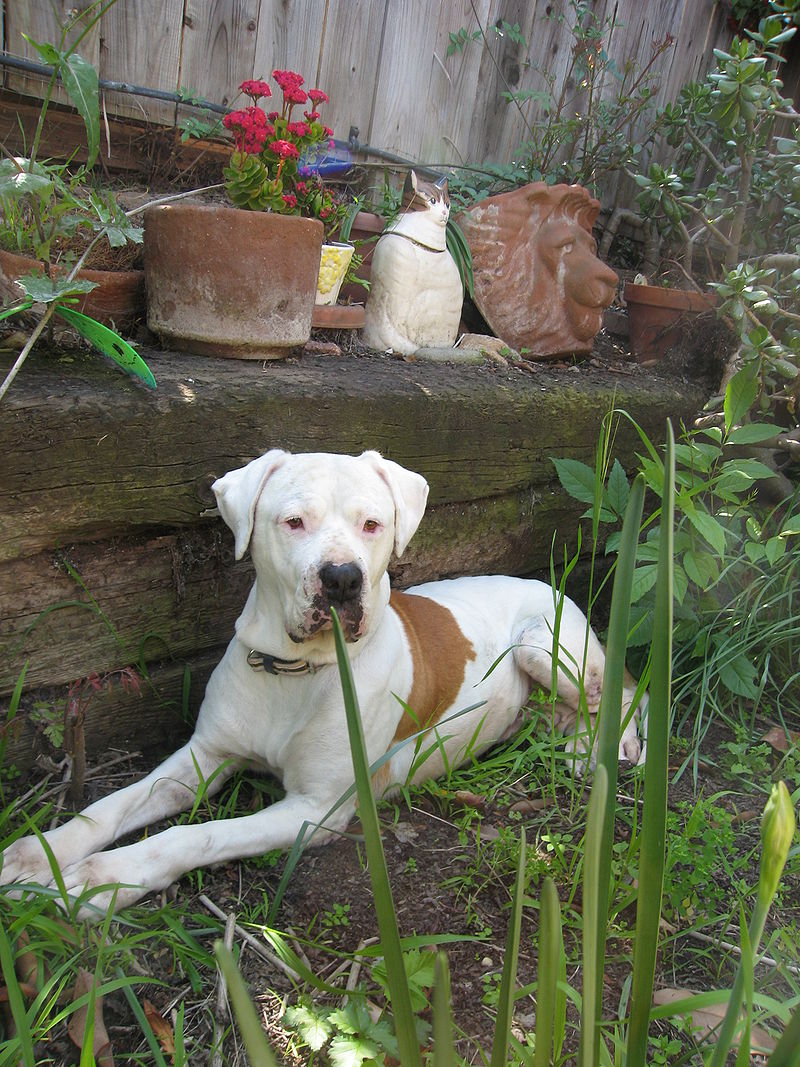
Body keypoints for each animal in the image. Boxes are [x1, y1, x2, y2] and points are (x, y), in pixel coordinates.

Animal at [0, 450, 644, 909]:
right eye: (293, 521)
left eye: (372, 524)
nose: (341, 578)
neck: (294, 670)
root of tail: (544, 582)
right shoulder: (204, 755)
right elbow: (112, 806)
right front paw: (40, 855)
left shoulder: (314, 809)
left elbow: (195, 836)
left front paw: (103, 879)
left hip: (546, 646)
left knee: (623, 689)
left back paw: (603, 746)